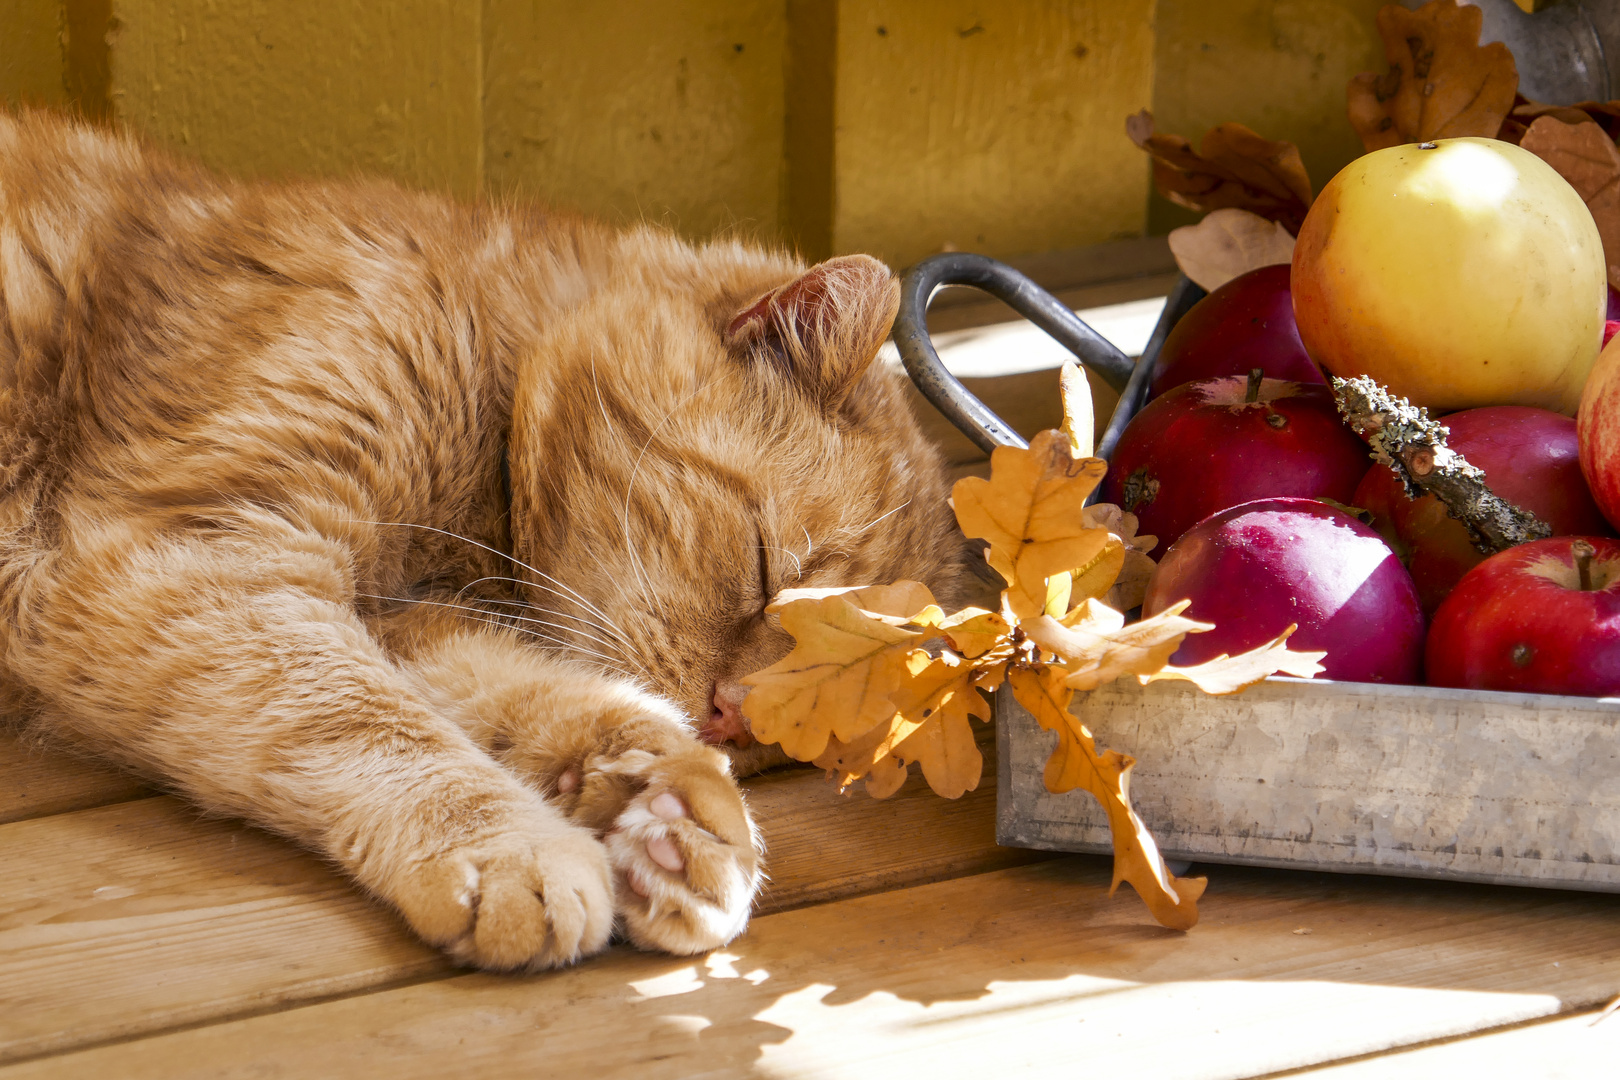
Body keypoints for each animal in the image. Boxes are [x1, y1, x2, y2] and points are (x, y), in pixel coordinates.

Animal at [0, 111, 959, 971]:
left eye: (805, 716)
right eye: (764, 571)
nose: (732, 714)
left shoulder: (398, 618)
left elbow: (537, 695)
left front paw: (666, 807)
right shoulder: (207, 557)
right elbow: (369, 721)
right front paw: (514, 850)